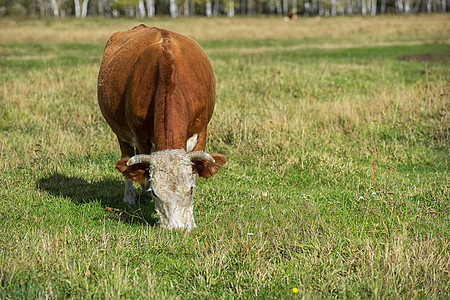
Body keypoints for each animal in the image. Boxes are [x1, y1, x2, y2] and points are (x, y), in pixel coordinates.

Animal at [97, 25, 225, 230]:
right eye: (155, 192)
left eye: (190, 190)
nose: (176, 229)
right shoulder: (140, 135)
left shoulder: (201, 131)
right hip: (121, 134)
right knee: (127, 159)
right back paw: (129, 197)